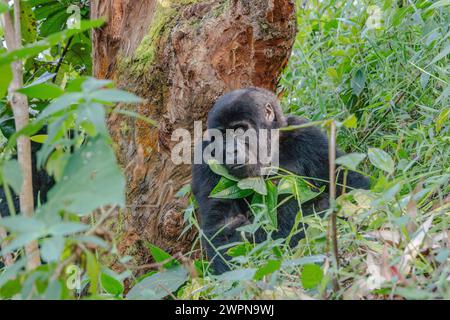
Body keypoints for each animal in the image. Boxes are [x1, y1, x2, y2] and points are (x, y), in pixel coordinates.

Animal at [191, 87, 370, 272]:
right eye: (222, 137)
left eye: (239, 130)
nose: (230, 151)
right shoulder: (203, 158)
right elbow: (224, 228)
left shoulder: (306, 133)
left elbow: (349, 185)